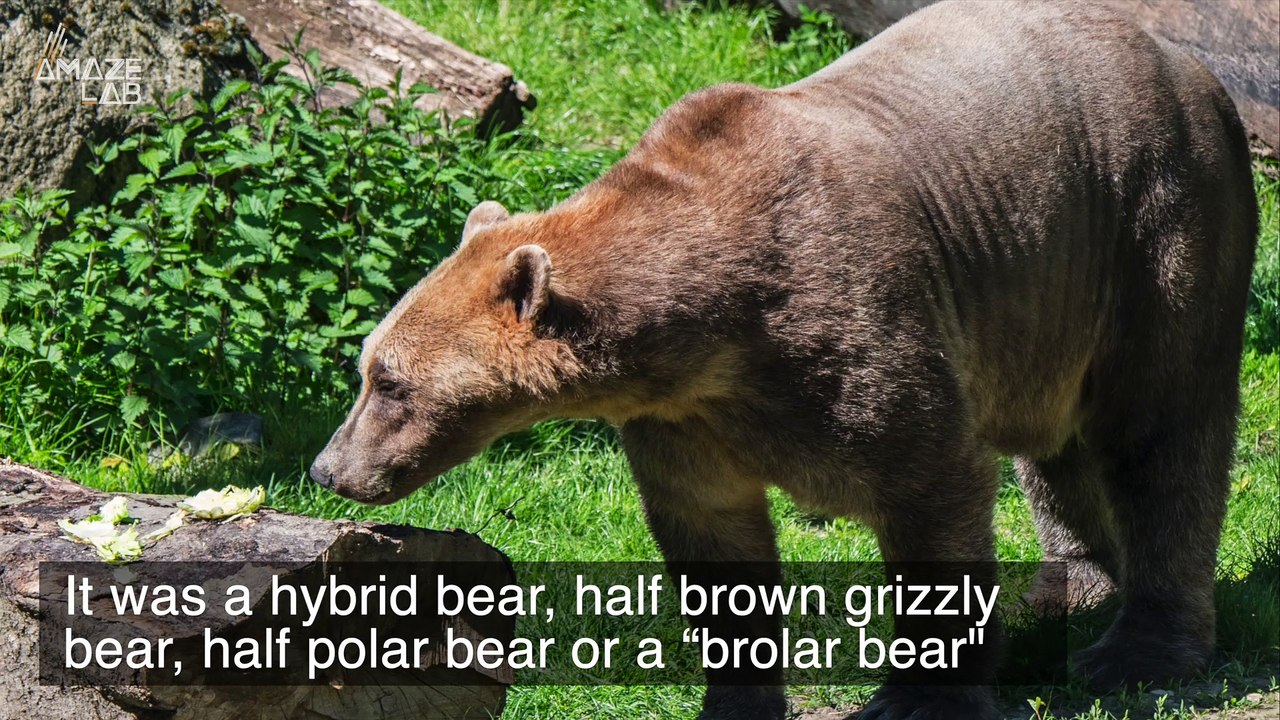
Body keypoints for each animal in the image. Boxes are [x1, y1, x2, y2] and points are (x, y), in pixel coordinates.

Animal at [309, 1, 1259, 717]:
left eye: (388, 381)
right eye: (365, 368)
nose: (327, 469)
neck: (714, 329)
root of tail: (1191, 66)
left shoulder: (859, 331)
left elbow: (931, 482)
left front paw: (917, 696)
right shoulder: (683, 418)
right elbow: (713, 540)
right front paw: (735, 699)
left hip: (1151, 223)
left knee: (1161, 434)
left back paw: (1140, 650)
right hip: (1047, 304)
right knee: (1055, 448)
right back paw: (1069, 585)